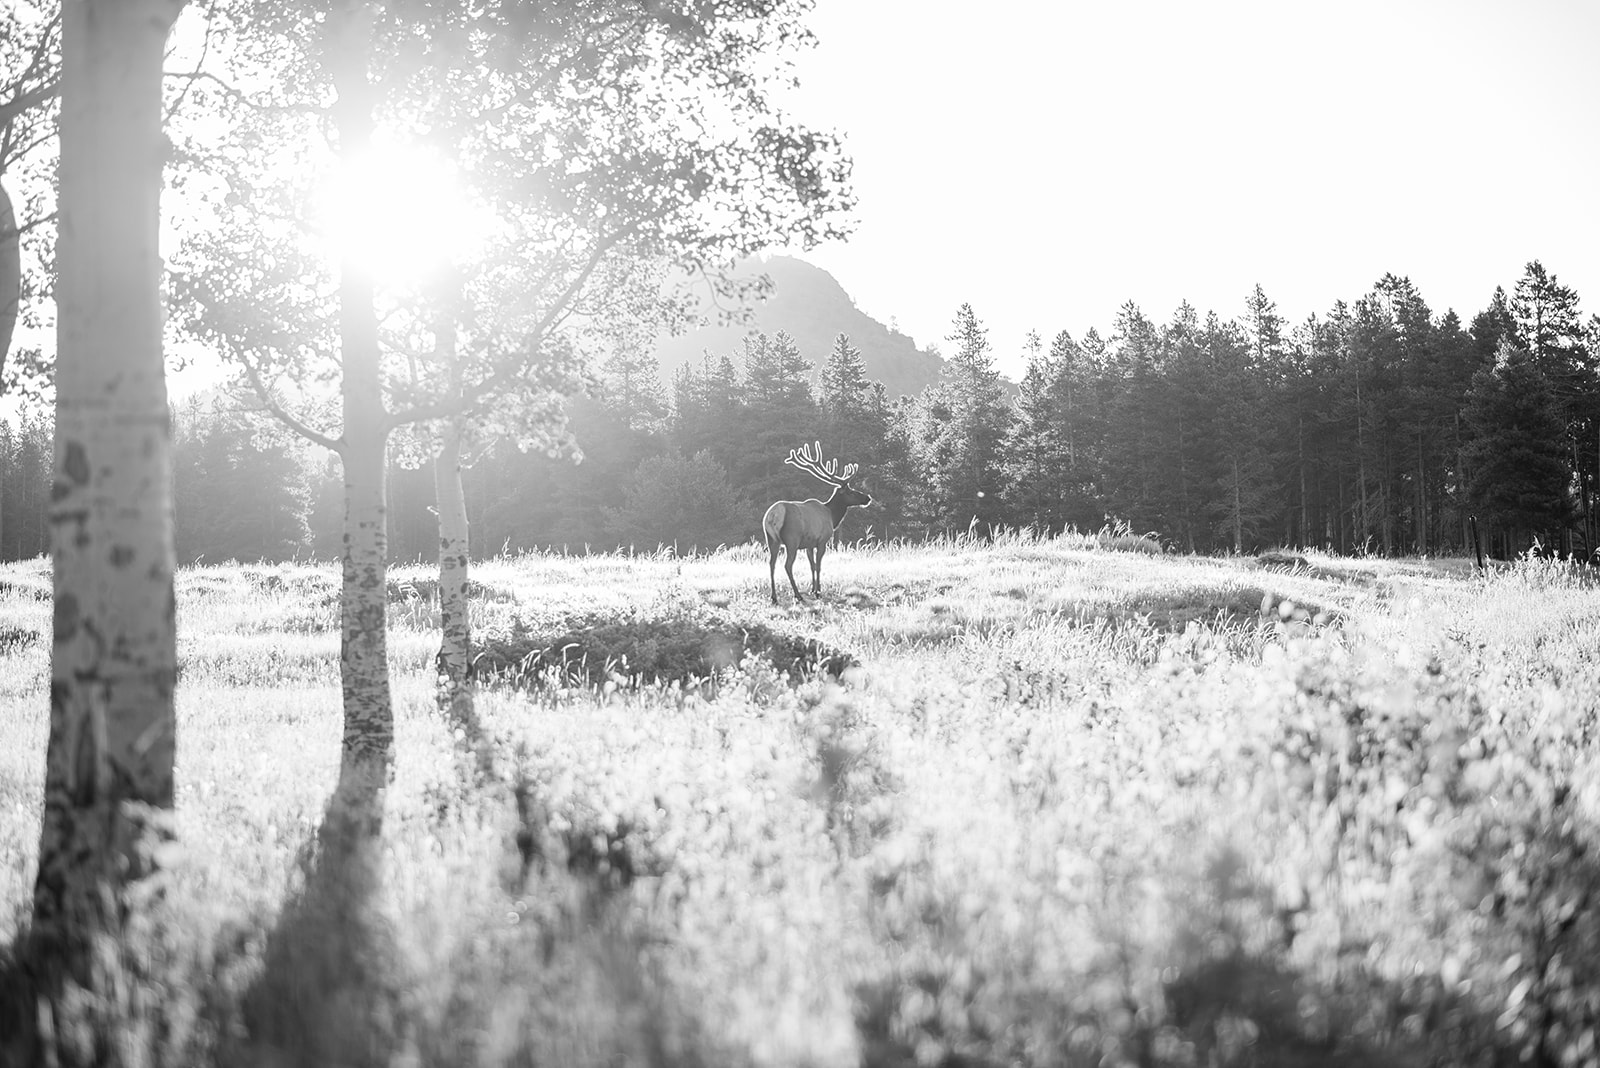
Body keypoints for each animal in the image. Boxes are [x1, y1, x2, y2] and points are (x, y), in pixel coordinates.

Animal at [763, 441, 873, 605]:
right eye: (851, 491)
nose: (867, 498)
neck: (832, 517)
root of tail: (774, 514)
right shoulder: (822, 540)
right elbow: (819, 565)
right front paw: (818, 592)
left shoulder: (809, 544)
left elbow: (812, 565)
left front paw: (812, 589)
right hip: (791, 539)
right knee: (787, 565)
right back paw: (797, 595)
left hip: (771, 539)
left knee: (771, 564)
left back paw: (774, 597)